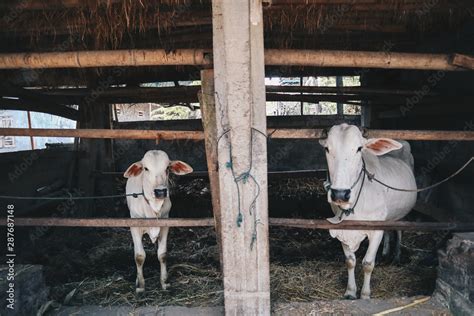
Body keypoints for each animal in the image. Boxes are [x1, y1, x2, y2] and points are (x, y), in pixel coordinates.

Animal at [124, 151, 194, 294]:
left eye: (167, 168)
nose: (160, 191)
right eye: (146, 168)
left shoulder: (165, 225)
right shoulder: (134, 225)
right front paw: (140, 286)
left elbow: (162, 254)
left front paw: (164, 282)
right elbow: (139, 256)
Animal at [320, 123, 416, 298]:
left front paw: (365, 295)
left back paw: (397, 256)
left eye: (359, 148)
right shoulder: (342, 228)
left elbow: (368, 263)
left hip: (400, 214)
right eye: (327, 148)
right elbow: (350, 261)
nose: (340, 194)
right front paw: (350, 292)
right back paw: (385, 253)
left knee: (398, 231)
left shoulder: (375, 230)